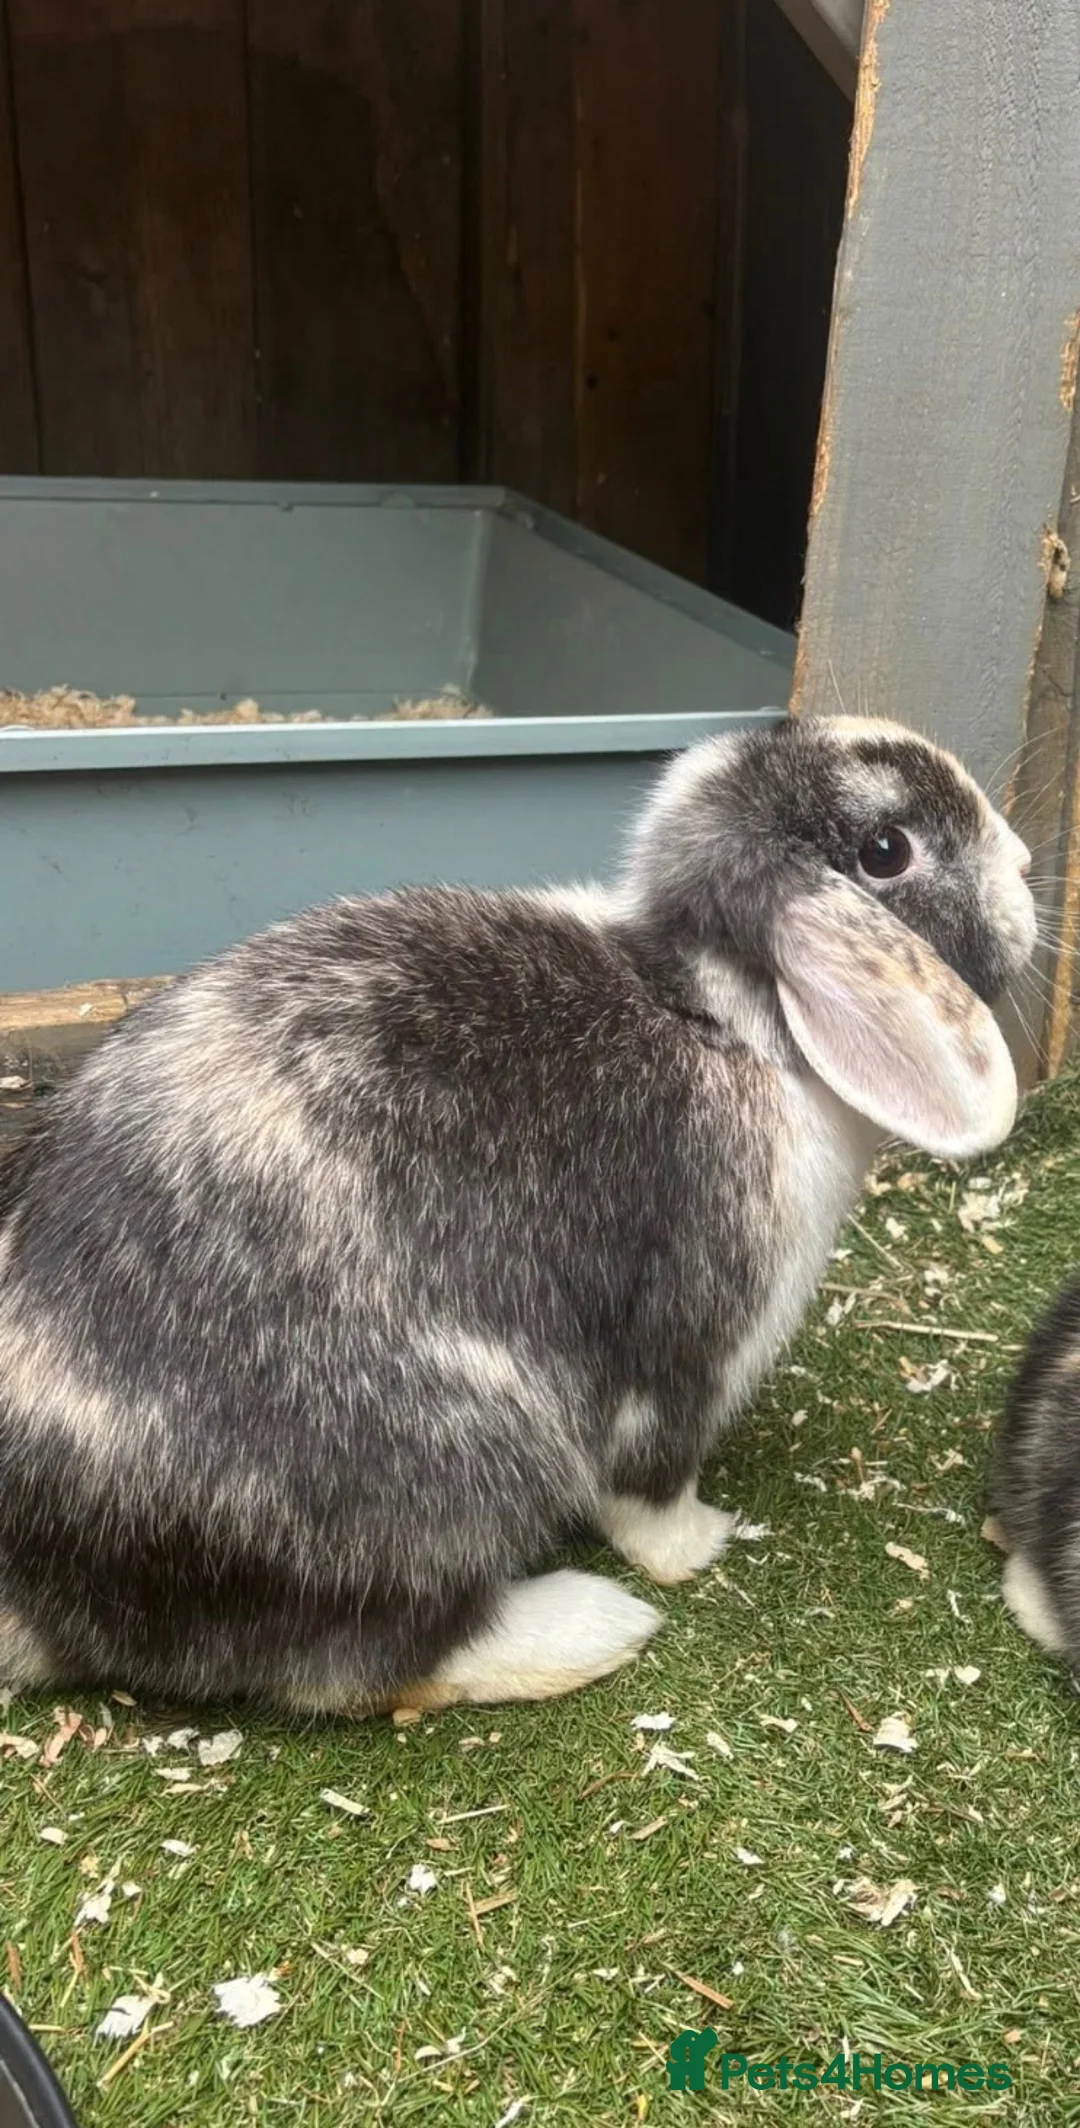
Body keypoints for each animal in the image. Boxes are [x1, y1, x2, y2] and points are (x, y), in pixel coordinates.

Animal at [0, 712, 1035, 1716]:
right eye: (886, 850)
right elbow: (651, 1485)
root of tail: (43, 1590)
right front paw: (700, 1543)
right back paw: (594, 1625)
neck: (721, 1015)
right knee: (358, 1664)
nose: (1026, 865)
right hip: (446, 1476)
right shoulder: (693, 1342)